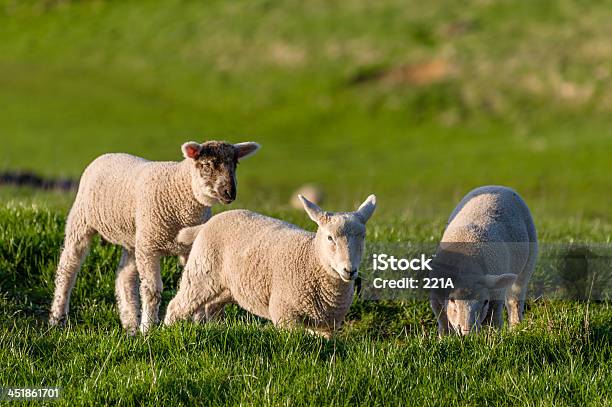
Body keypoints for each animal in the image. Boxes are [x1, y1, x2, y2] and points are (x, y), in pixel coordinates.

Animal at [48, 139, 258, 334]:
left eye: (235, 164)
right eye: (207, 165)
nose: (230, 193)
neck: (180, 193)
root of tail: (108, 154)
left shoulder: (190, 248)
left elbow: (194, 284)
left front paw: (198, 324)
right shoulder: (150, 247)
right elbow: (152, 291)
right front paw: (147, 328)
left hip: (134, 237)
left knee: (124, 275)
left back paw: (130, 323)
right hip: (82, 220)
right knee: (68, 268)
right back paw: (57, 317)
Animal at [163, 194, 376, 338]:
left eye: (363, 237)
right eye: (330, 238)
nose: (349, 270)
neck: (311, 258)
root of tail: (209, 222)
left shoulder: (328, 325)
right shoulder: (285, 314)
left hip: (226, 286)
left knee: (212, 306)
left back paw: (214, 327)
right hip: (201, 272)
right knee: (177, 305)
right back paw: (167, 329)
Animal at [428, 186, 536, 336]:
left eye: (485, 302)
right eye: (452, 300)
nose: (467, 332)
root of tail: (498, 186)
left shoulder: (495, 294)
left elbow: (494, 320)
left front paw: (494, 337)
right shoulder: (436, 297)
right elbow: (443, 323)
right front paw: (444, 338)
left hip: (528, 262)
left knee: (515, 300)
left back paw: (516, 327)